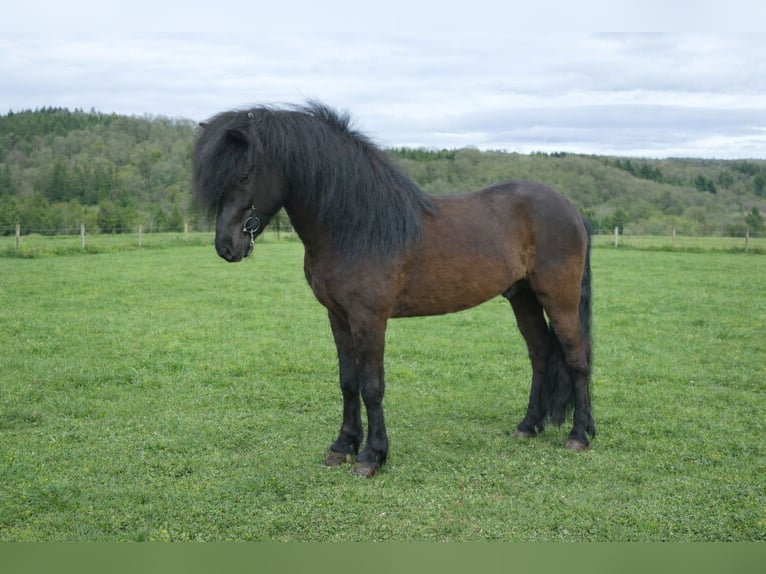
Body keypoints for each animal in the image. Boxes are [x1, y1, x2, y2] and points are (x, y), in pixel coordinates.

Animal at [192, 102, 595, 477]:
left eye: (244, 174)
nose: (226, 246)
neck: (355, 227)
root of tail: (571, 210)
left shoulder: (370, 319)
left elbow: (372, 385)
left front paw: (372, 456)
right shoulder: (338, 317)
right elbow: (348, 381)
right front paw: (342, 447)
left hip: (559, 298)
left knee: (576, 357)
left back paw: (580, 435)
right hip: (522, 296)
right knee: (540, 355)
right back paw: (528, 426)